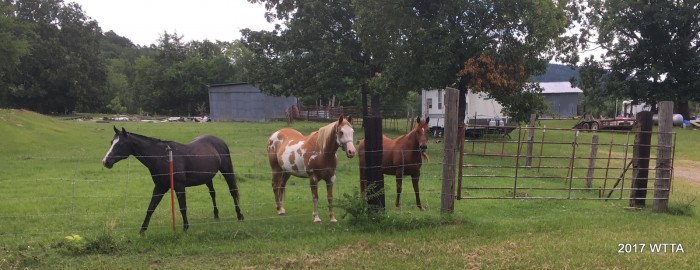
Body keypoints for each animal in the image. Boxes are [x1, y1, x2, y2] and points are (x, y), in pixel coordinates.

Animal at [101, 127, 243, 234]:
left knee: (232, 191)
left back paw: (240, 216)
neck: (162, 156)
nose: (105, 161)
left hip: (226, 171)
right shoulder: (160, 187)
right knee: (213, 193)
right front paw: (142, 231)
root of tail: (218, 140)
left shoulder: (179, 186)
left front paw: (185, 228)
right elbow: (150, 208)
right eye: (111, 142)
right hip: (207, 177)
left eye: (120, 144)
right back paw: (216, 216)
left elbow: (183, 208)